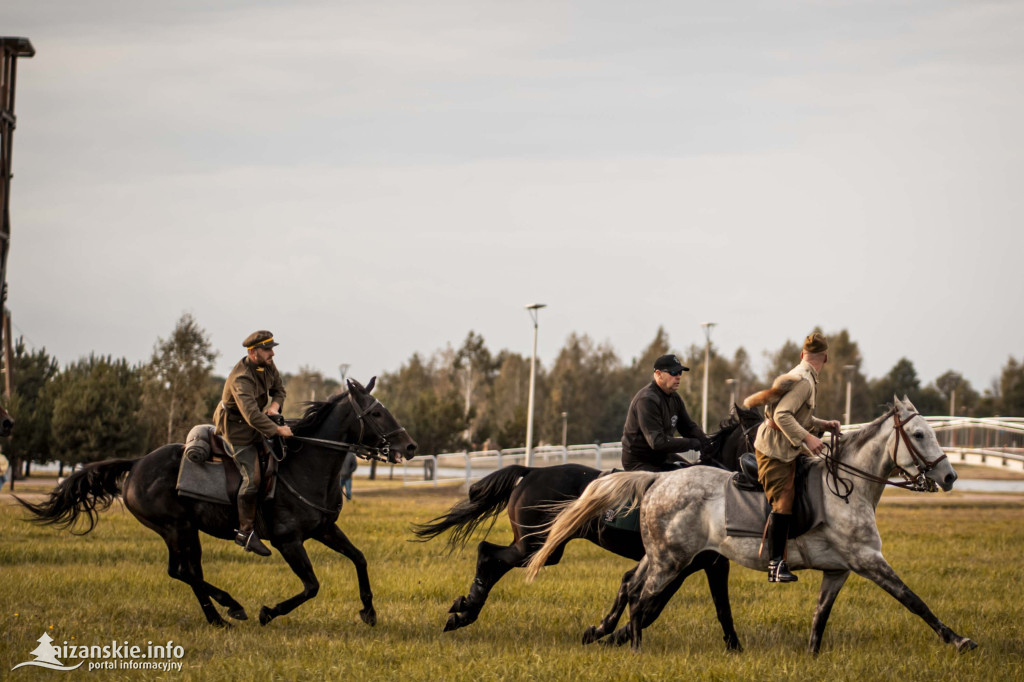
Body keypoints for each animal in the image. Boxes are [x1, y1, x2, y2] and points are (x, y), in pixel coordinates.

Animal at [17, 376, 415, 626]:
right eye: (376, 413)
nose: (409, 446)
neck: (306, 464)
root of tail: (138, 463)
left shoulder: (325, 529)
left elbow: (359, 559)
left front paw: (369, 612)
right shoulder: (288, 541)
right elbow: (312, 585)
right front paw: (268, 612)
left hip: (185, 531)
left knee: (185, 571)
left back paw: (221, 614)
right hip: (175, 529)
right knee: (185, 572)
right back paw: (228, 610)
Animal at [413, 403, 761, 647]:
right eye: (758, 436)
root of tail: (531, 472)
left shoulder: (701, 565)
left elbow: (685, 606)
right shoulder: (688, 565)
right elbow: (660, 606)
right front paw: (607, 634)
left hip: (543, 548)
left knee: (492, 557)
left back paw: (464, 612)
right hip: (535, 545)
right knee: (488, 553)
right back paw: (465, 610)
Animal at [532, 399, 978, 655]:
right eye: (918, 434)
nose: (950, 476)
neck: (849, 489)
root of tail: (657, 479)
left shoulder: (838, 570)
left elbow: (820, 617)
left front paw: (812, 658)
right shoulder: (868, 559)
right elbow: (914, 600)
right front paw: (959, 640)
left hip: (664, 558)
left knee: (633, 587)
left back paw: (604, 633)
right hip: (671, 561)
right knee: (643, 599)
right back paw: (634, 649)